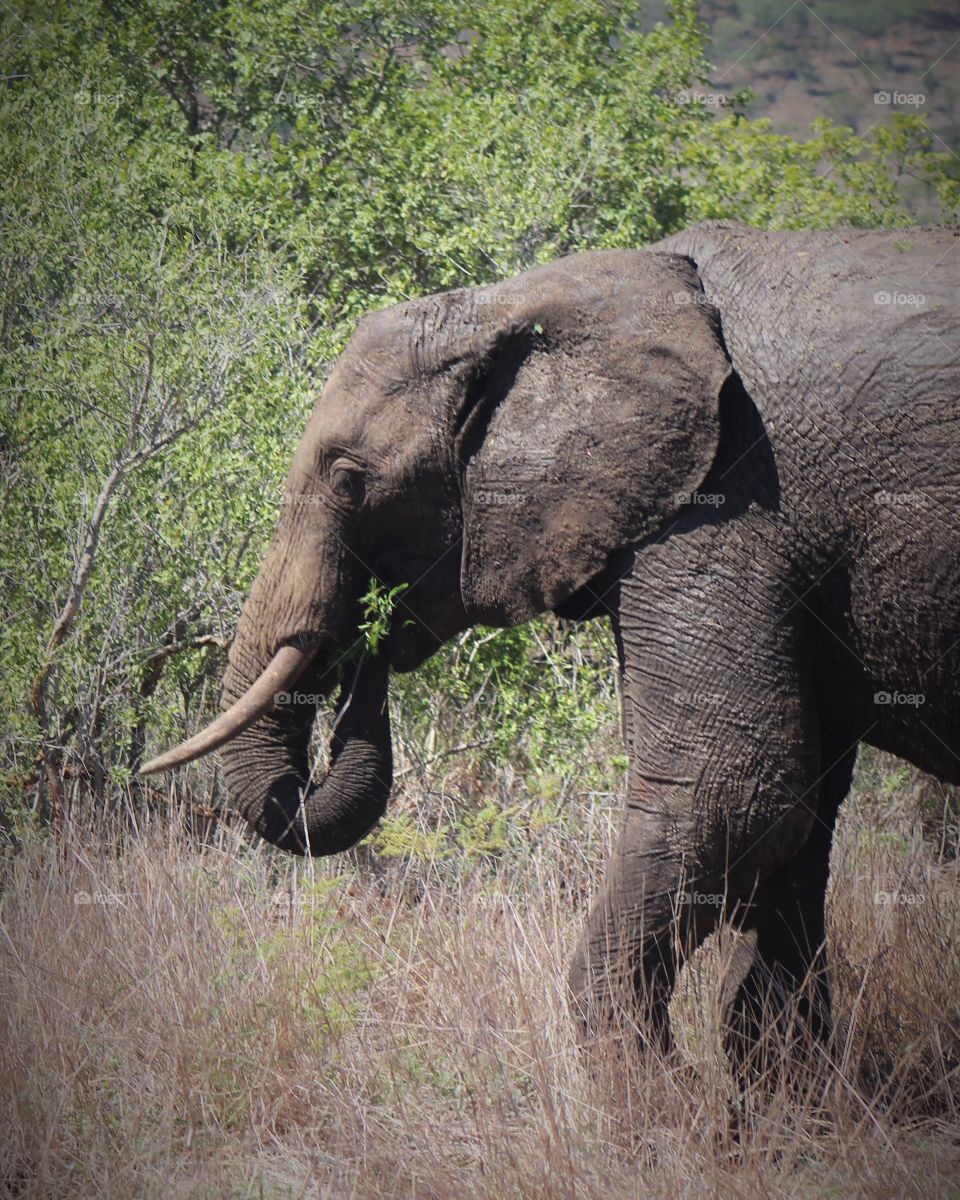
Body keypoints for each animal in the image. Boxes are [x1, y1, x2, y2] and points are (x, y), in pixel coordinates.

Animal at [142, 221, 959, 1068]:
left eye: (347, 478)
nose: (372, 622)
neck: (528, 297)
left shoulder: (729, 500)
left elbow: (730, 791)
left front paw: (645, 1095)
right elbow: (795, 831)